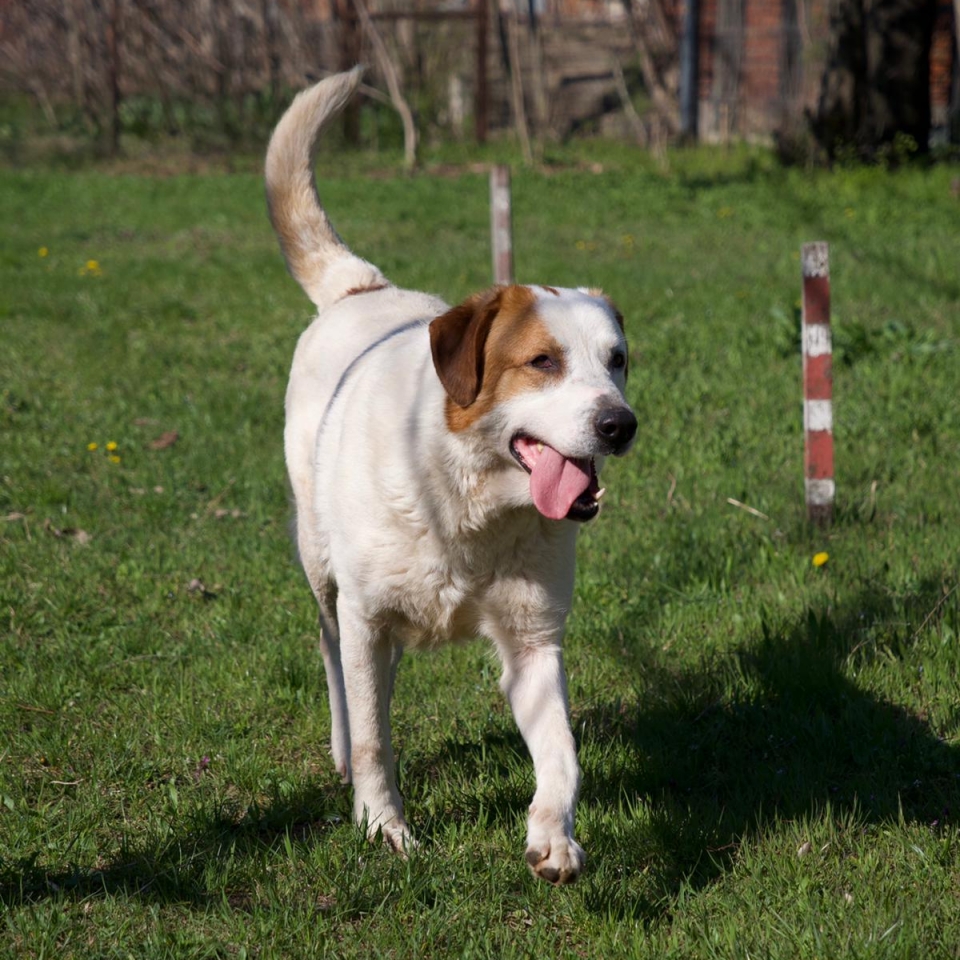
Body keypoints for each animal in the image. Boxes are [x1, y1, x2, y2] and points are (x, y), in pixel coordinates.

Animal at [264, 67, 636, 888]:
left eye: (617, 361)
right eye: (542, 362)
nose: (619, 425)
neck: (465, 502)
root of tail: (363, 288)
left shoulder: (533, 642)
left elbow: (563, 756)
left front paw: (553, 838)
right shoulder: (366, 613)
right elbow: (374, 734)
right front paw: (384, 829)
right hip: (320, 566)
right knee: (335, 660)